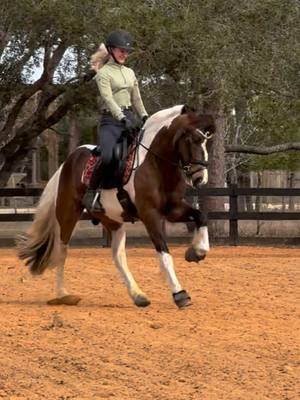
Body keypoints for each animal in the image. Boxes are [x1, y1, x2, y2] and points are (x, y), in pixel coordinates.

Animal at [17, 104, 216, 310]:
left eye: (207, 141)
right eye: (194, 139)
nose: (200, 178)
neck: (154, 164)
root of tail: (68, 161)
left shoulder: (173, 209)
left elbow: (201, 217)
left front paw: (196, 252)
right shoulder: (150, 216)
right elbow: (164, 255)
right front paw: (180, 294)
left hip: (112, 221)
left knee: (118, 256)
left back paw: (138, 295)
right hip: (67, 214)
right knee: (62, 251)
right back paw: (63, 295)